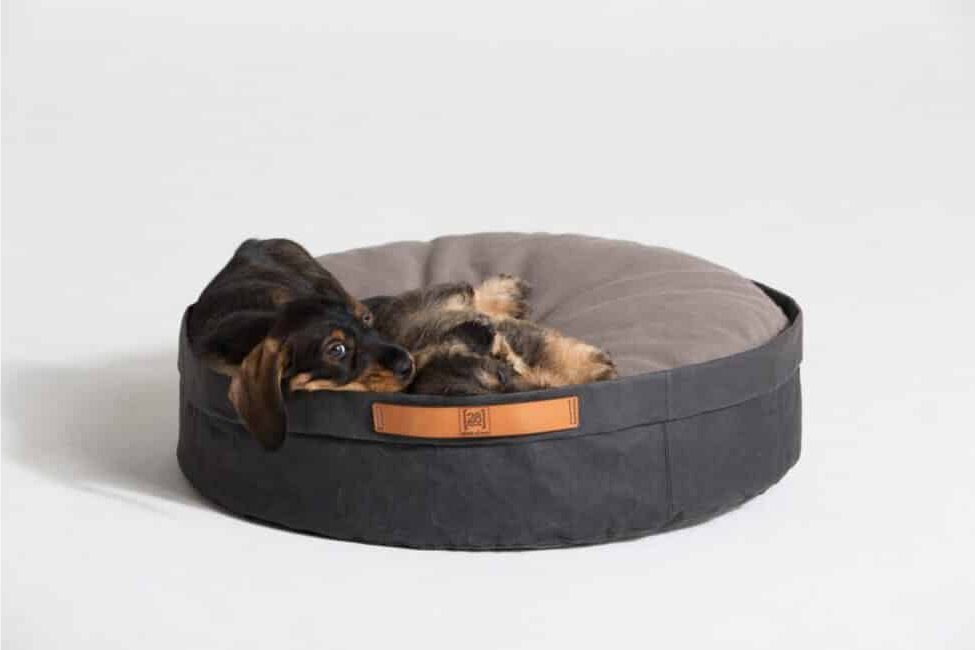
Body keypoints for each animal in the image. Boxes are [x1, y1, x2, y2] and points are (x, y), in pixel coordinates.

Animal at [364, 275, 617, 395]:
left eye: (502, 377)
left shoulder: (517, 334)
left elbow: (549, 348)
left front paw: (596, 367)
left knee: (474, 293)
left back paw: (508, 291)